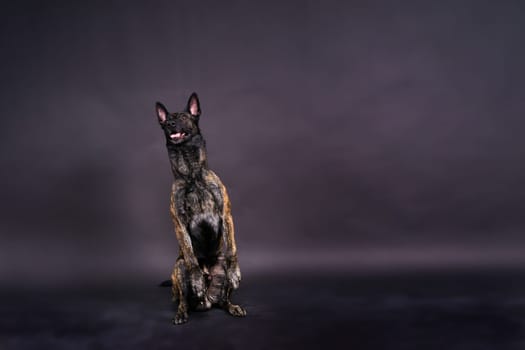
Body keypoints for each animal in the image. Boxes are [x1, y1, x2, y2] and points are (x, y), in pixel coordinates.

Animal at [155, 91, 247, 324]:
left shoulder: (226, 215)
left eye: (183, 117)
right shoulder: (179, 224)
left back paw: (232, 306)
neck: (192, 176)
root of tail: (206, 301)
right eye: (166, 122)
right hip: (178, 269)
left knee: (223, 300)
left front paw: (235, 272)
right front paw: (196, 280)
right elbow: (190, 255)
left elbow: (232, 249)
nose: (170, 124)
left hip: (220, 269)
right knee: (183, 298)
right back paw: (182, 310)